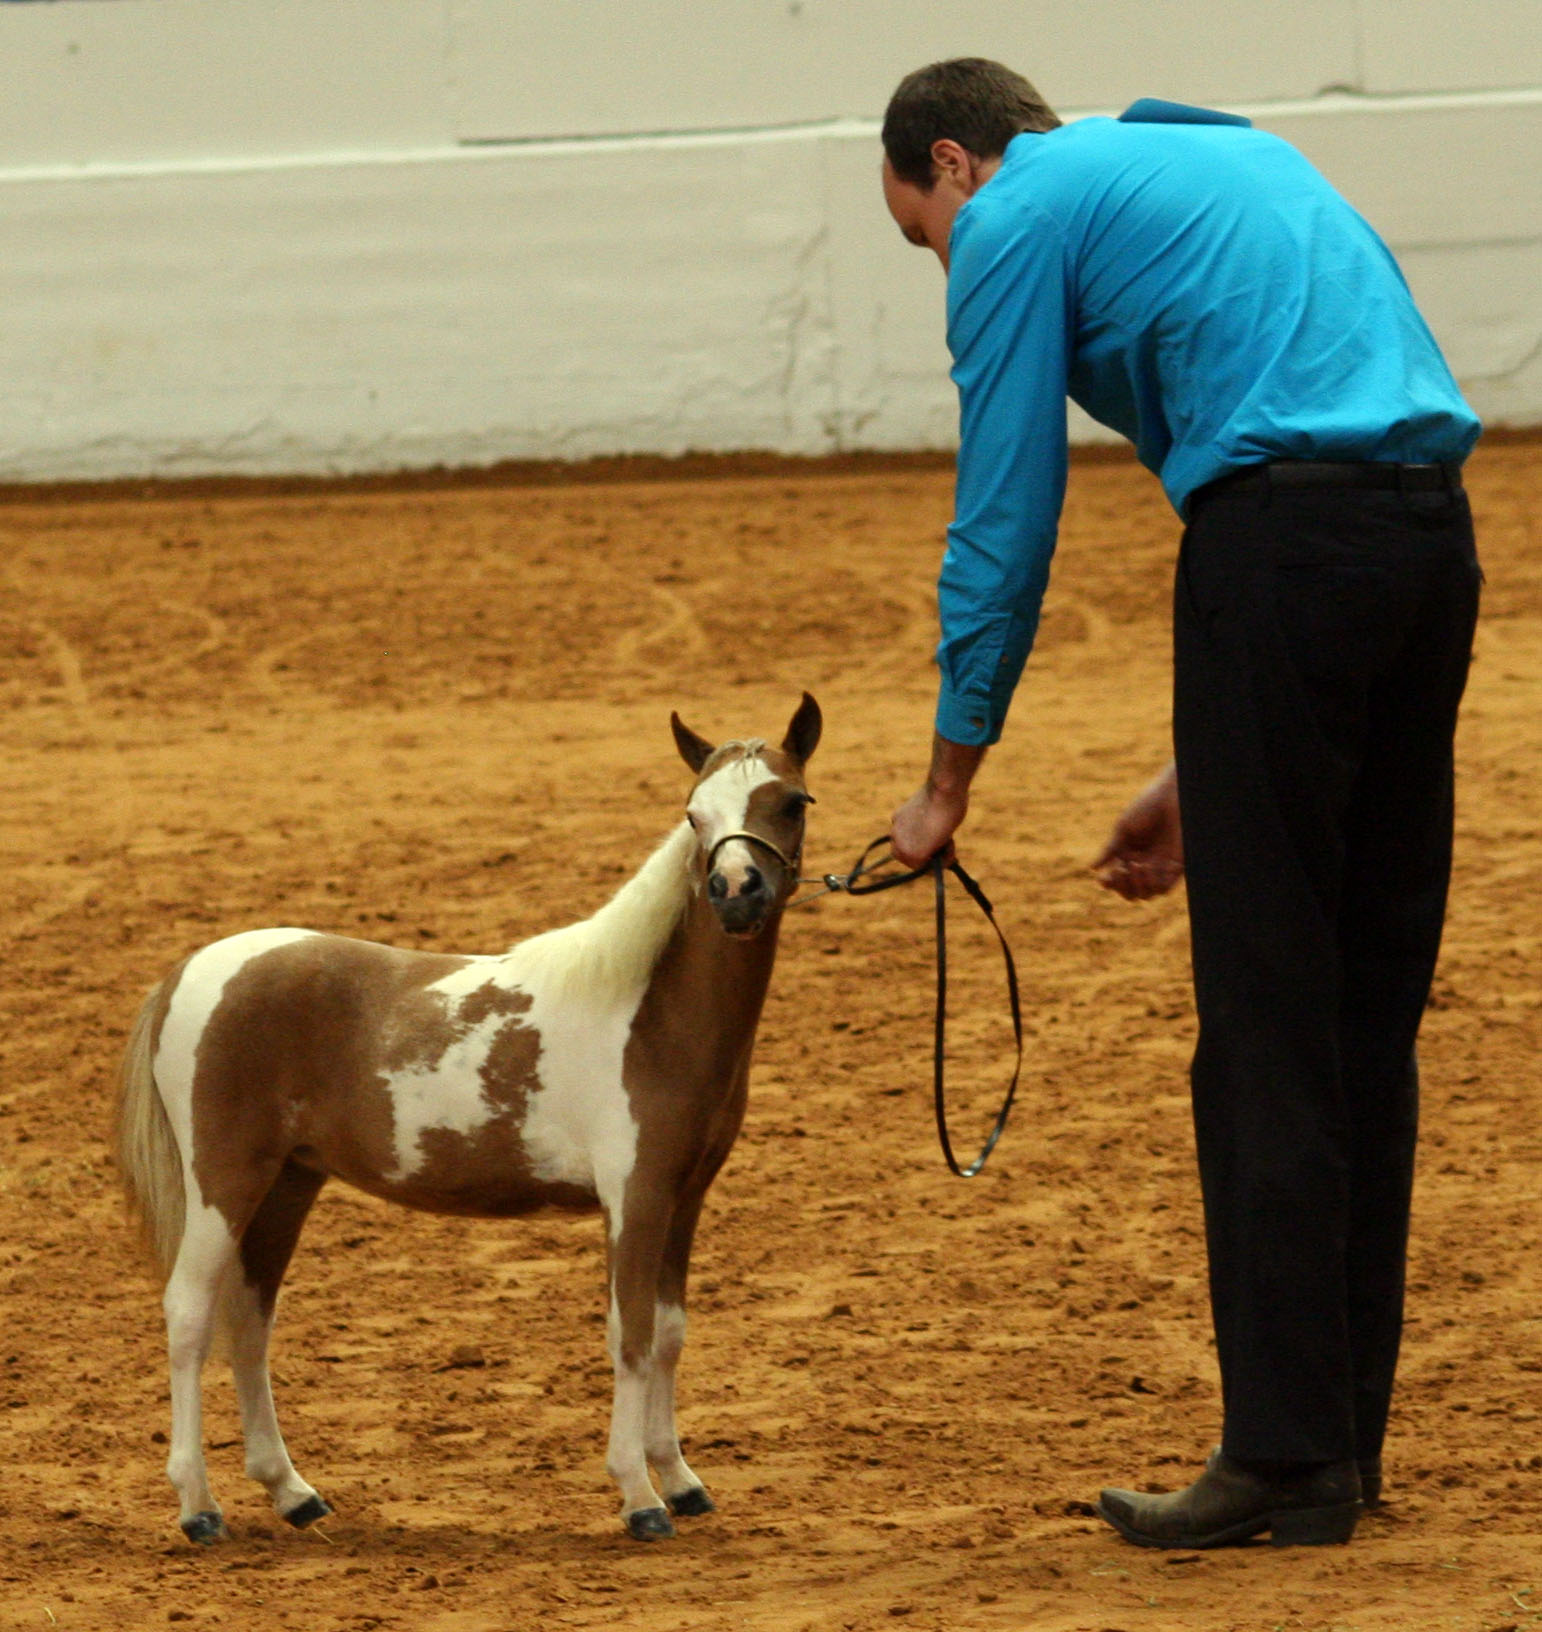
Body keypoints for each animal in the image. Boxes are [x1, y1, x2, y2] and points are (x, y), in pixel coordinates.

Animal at [115, 694, 821, 1545]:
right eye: (694, 814)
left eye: (792, 801)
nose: (735, 890)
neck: (649, 1012)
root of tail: (189, 972)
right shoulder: (636, 1198)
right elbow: (630, 1335)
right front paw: (640, 1497)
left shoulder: (684, 1199)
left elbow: (671, 1333)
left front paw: (681, 1481)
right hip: (224, 1182)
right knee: (190, 1315)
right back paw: (198, 1506)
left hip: (287, 1185)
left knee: (249, 1320)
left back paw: (293, 1493)